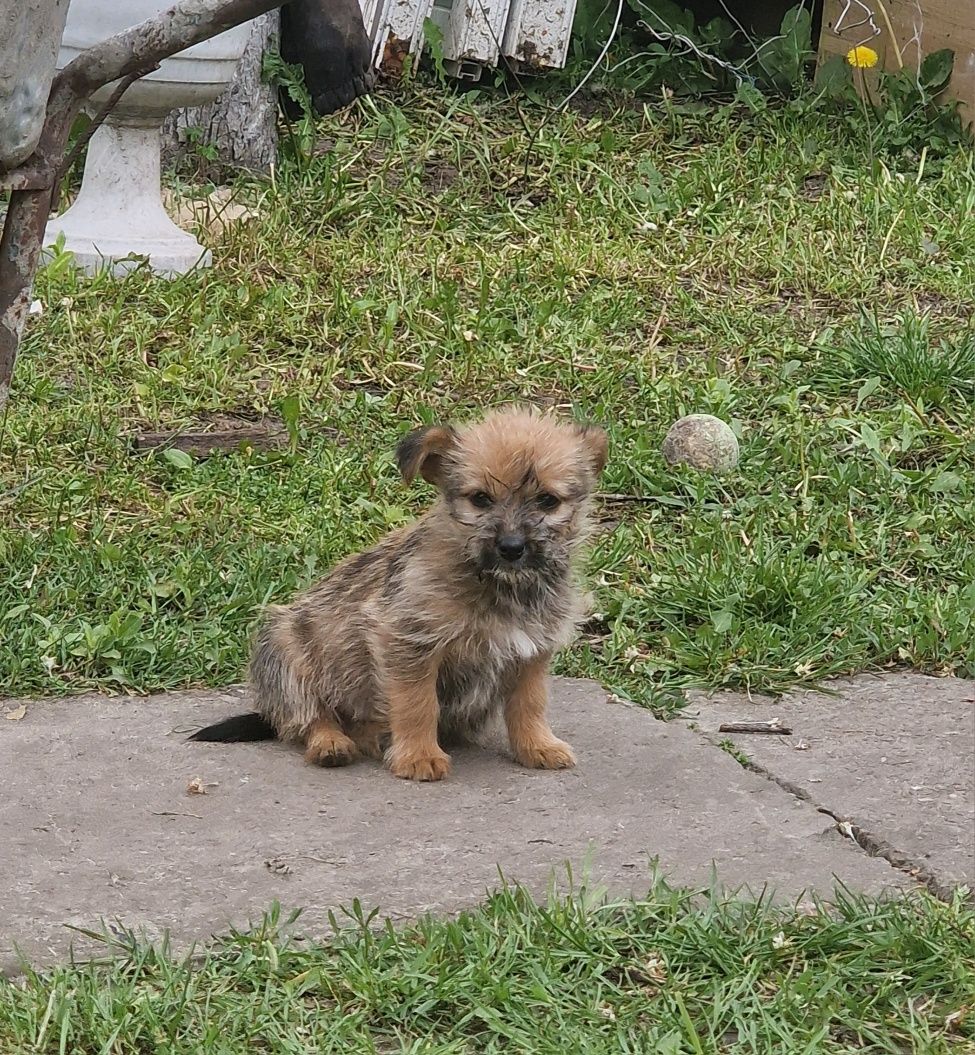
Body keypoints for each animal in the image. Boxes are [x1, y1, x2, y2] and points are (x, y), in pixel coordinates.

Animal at [189, 407, 607, 780]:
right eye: (480, 499)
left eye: (548, 500)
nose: (511, 547)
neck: (498, 584)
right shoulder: (408, 641)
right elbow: (416, 704)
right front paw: (419, 757)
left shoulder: (532, 652)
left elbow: (530, 704)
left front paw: (538, 746)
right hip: (283, 650)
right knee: (307, 715)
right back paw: (333, 744)